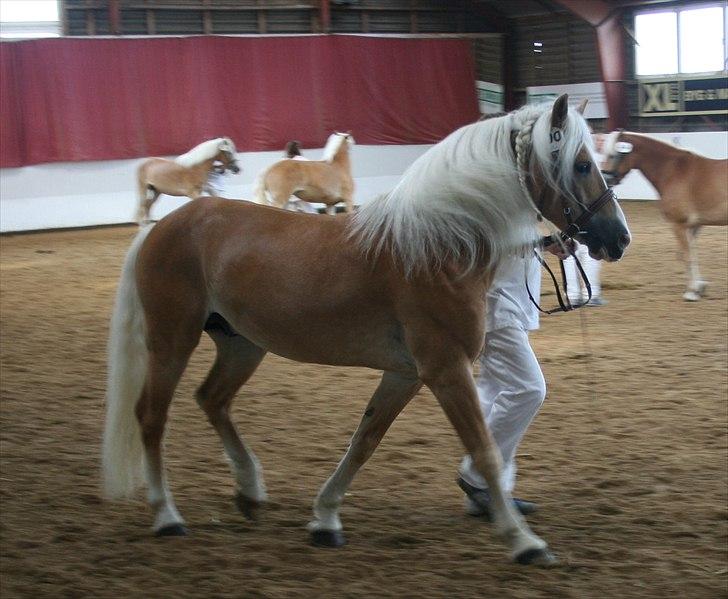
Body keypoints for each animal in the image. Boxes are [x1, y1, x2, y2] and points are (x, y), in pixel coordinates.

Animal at [104, 95, 632, 568]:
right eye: (582, 164)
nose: (619, 237)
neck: (438, 245)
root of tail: (163, 227)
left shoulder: (406, 374)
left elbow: (365, 441)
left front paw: (325, 519)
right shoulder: (445, 369)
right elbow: (482, 450)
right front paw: (524, 542)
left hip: (242, 344)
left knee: (212, 400)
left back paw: (250, 493)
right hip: (172, 340)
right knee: (150, 415)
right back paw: (168, 516)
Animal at [600, 131, 724, 300]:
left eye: (612, 155)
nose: (605, 179)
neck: (674, 171)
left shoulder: (678, 224)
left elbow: (687, 256)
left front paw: (691, 292)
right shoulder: (693, 225)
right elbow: (690, 254)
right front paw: (699, 286)